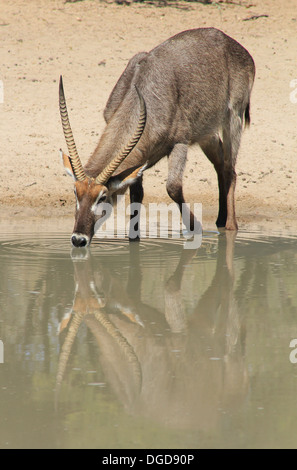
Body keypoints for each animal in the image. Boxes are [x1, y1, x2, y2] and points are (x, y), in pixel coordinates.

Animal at [59, 27, 253, 248]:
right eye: (76, 192)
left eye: (102, 196)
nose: (78, 239)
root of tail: (230, 42)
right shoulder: (139, 161)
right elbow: (136, 195)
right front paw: (133, 240)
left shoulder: (180, 143)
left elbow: (173, 187)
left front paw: (196, 228)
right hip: (207, 134)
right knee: (221, 165)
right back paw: (220, 220)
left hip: (233, 118)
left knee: (230, 170)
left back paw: (230, 226)